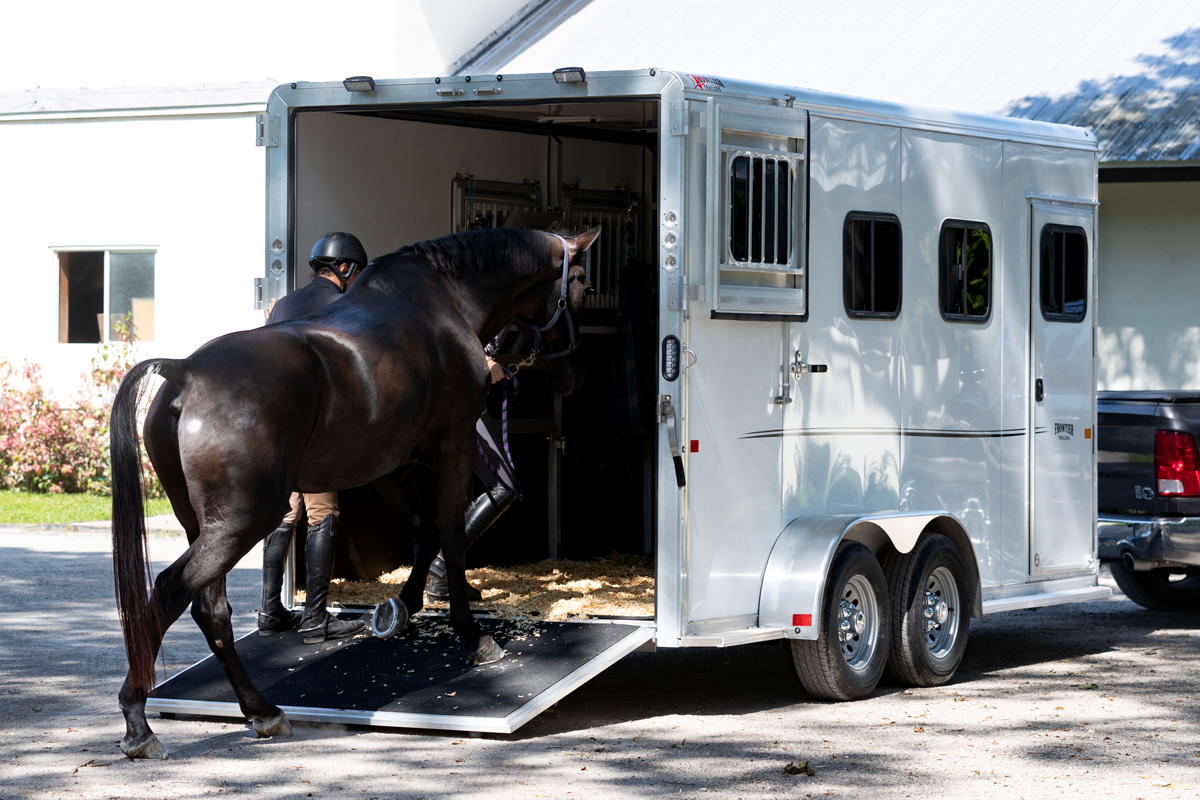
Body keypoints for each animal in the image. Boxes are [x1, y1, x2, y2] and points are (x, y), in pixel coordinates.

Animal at [110, 225, 597, 758]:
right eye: (584, 286)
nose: (570, 379)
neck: (446, 302)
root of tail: (185, 371)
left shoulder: (390, 467)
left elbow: (424, 532)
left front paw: (402, 606)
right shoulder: (455, 450)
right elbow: (450, 537)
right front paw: (472, 637)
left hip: (203, 524)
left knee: (210, 610)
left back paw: (262, 711)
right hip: (238, 522)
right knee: (170, 590)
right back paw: (138, 723)